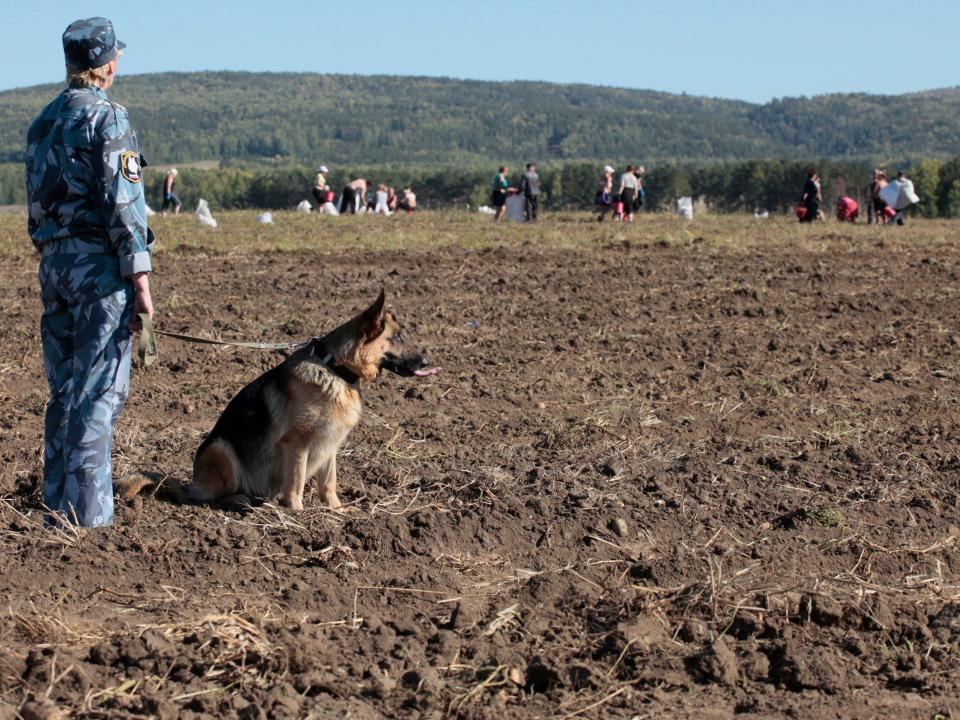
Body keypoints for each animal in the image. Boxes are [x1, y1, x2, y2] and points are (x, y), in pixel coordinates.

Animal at [187, 292, 438, 512]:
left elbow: (329, 482)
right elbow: (296, 482)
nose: (426, 361)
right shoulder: (297, 443)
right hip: (220, 449)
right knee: (212, 496)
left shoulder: (330, 443)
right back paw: (239, 499)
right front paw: (298, 512)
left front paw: (336, 510)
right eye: (397, 337)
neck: (334, 369)